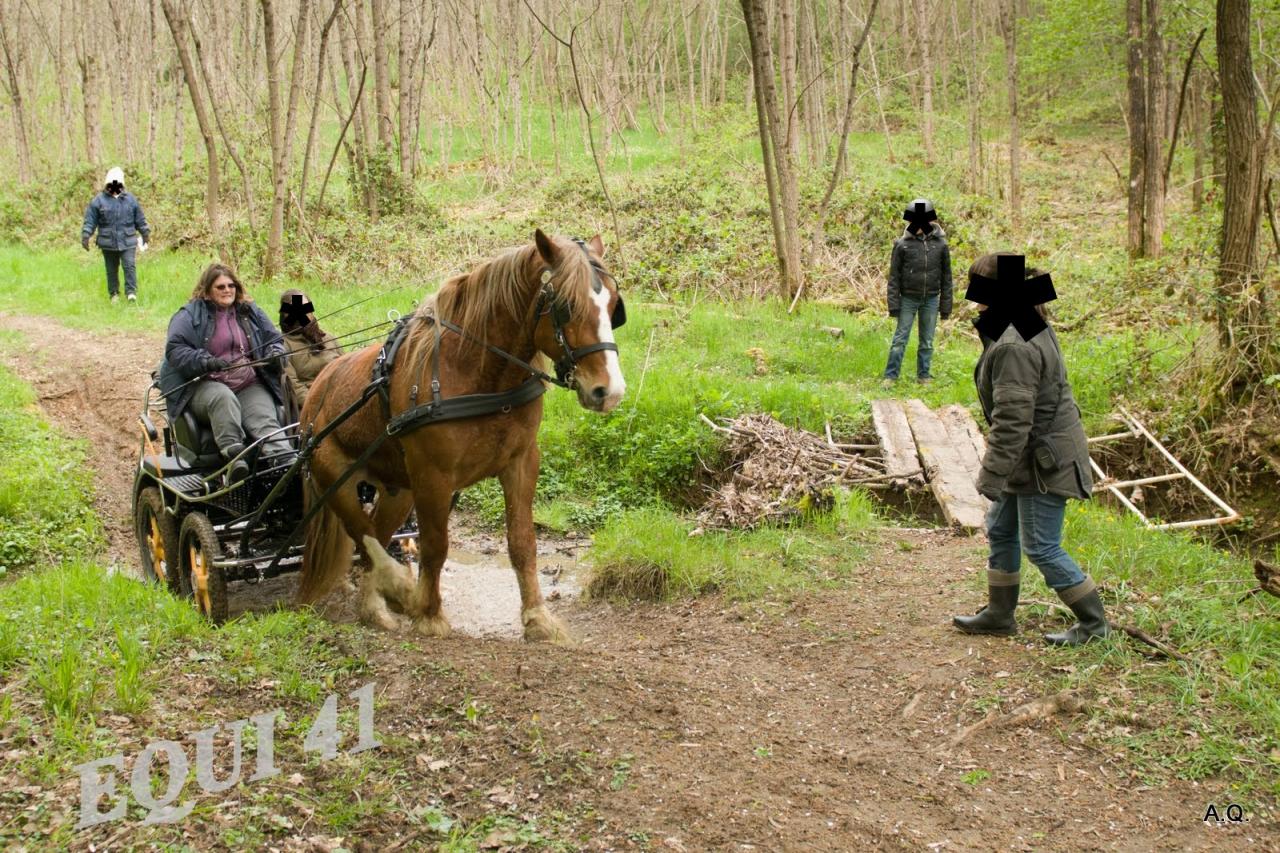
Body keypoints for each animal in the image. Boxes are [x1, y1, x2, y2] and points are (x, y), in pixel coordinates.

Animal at [294, 229, 624, 640]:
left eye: (613, 304)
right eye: (565, 305)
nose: (609, 391)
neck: (478, 372)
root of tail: (317, 392)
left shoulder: (521, 464)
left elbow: (523, 543)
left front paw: (537, 617)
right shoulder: (433, 475)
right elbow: (435, 546)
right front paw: (429, 614)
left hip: (399, 490)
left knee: (377, 535)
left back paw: (375, 608)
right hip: (336, 478)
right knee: (364, 535)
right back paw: (400, 587)